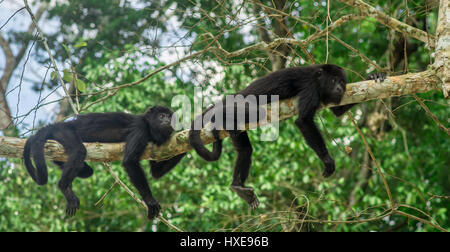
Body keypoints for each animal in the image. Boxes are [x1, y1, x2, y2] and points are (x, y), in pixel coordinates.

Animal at [22, 105, 175, 220]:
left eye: (169, 116)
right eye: (162, 116)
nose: (168, 121)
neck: (149, 127)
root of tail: (59, 124)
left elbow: (155, 172)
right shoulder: (140, 128)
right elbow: (130, 161)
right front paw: (150, 201)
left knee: (86, 170)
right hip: (64, 132)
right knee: (78, 151)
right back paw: (64, 186)